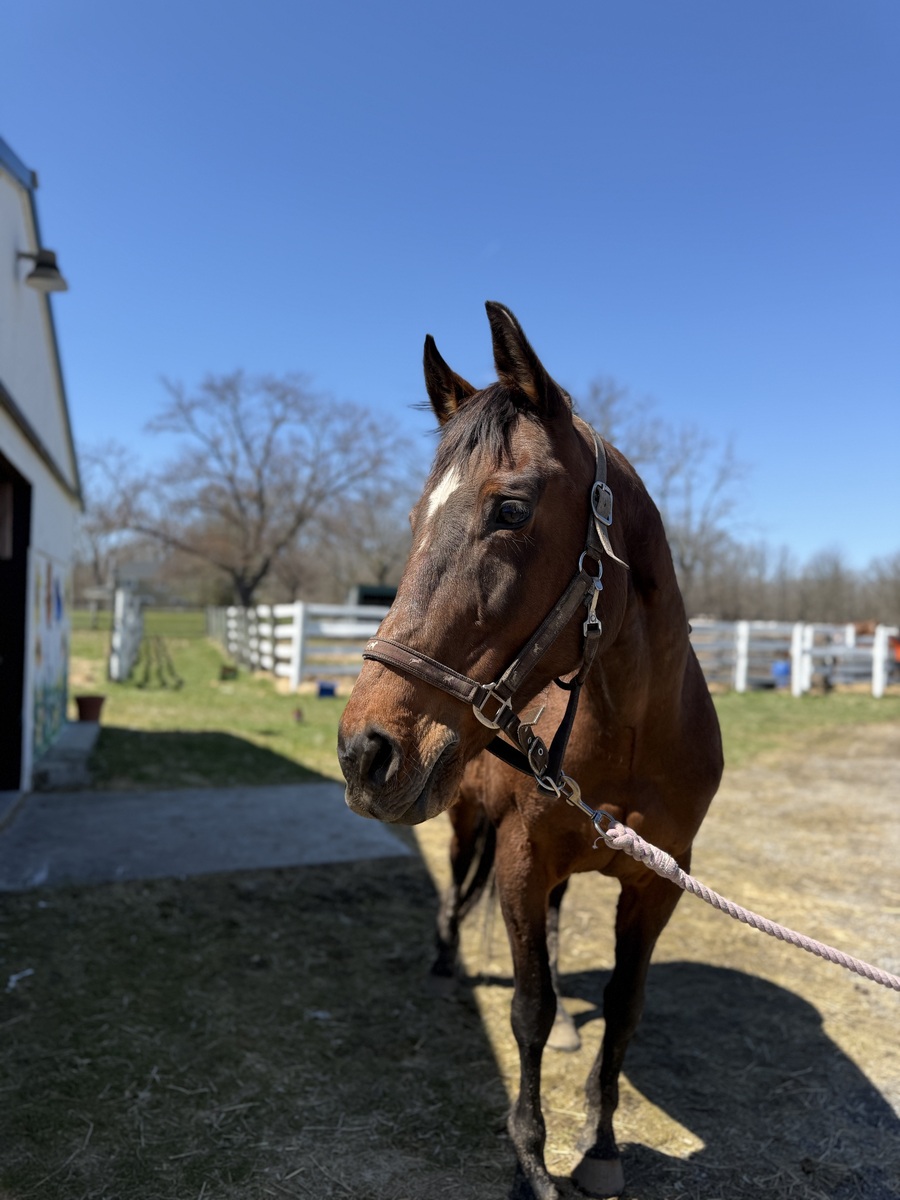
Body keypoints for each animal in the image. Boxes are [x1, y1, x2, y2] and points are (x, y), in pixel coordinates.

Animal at [338, 302, 723, 1199]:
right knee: (458, 890)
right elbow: (529, 1009)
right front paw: (528, 1159)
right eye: (415, 521)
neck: (631, 735)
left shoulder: (659, 882)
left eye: (510, 509)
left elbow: (623, 1009)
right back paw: (444, 959)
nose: (365, 750)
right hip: (466, 825)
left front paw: (602, 1147)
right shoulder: (517, 856)